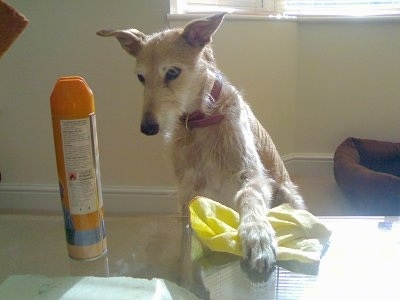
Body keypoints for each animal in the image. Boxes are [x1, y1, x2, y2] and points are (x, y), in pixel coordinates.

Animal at [97, 12, 304, 278]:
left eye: (172, 72)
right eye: (141, 77)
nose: (147, 128)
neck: (200, 120)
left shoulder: (250, 175)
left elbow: (249, 196)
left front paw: (257, 236)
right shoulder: (188, 191)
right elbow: (187, 236)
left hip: (288, 195)